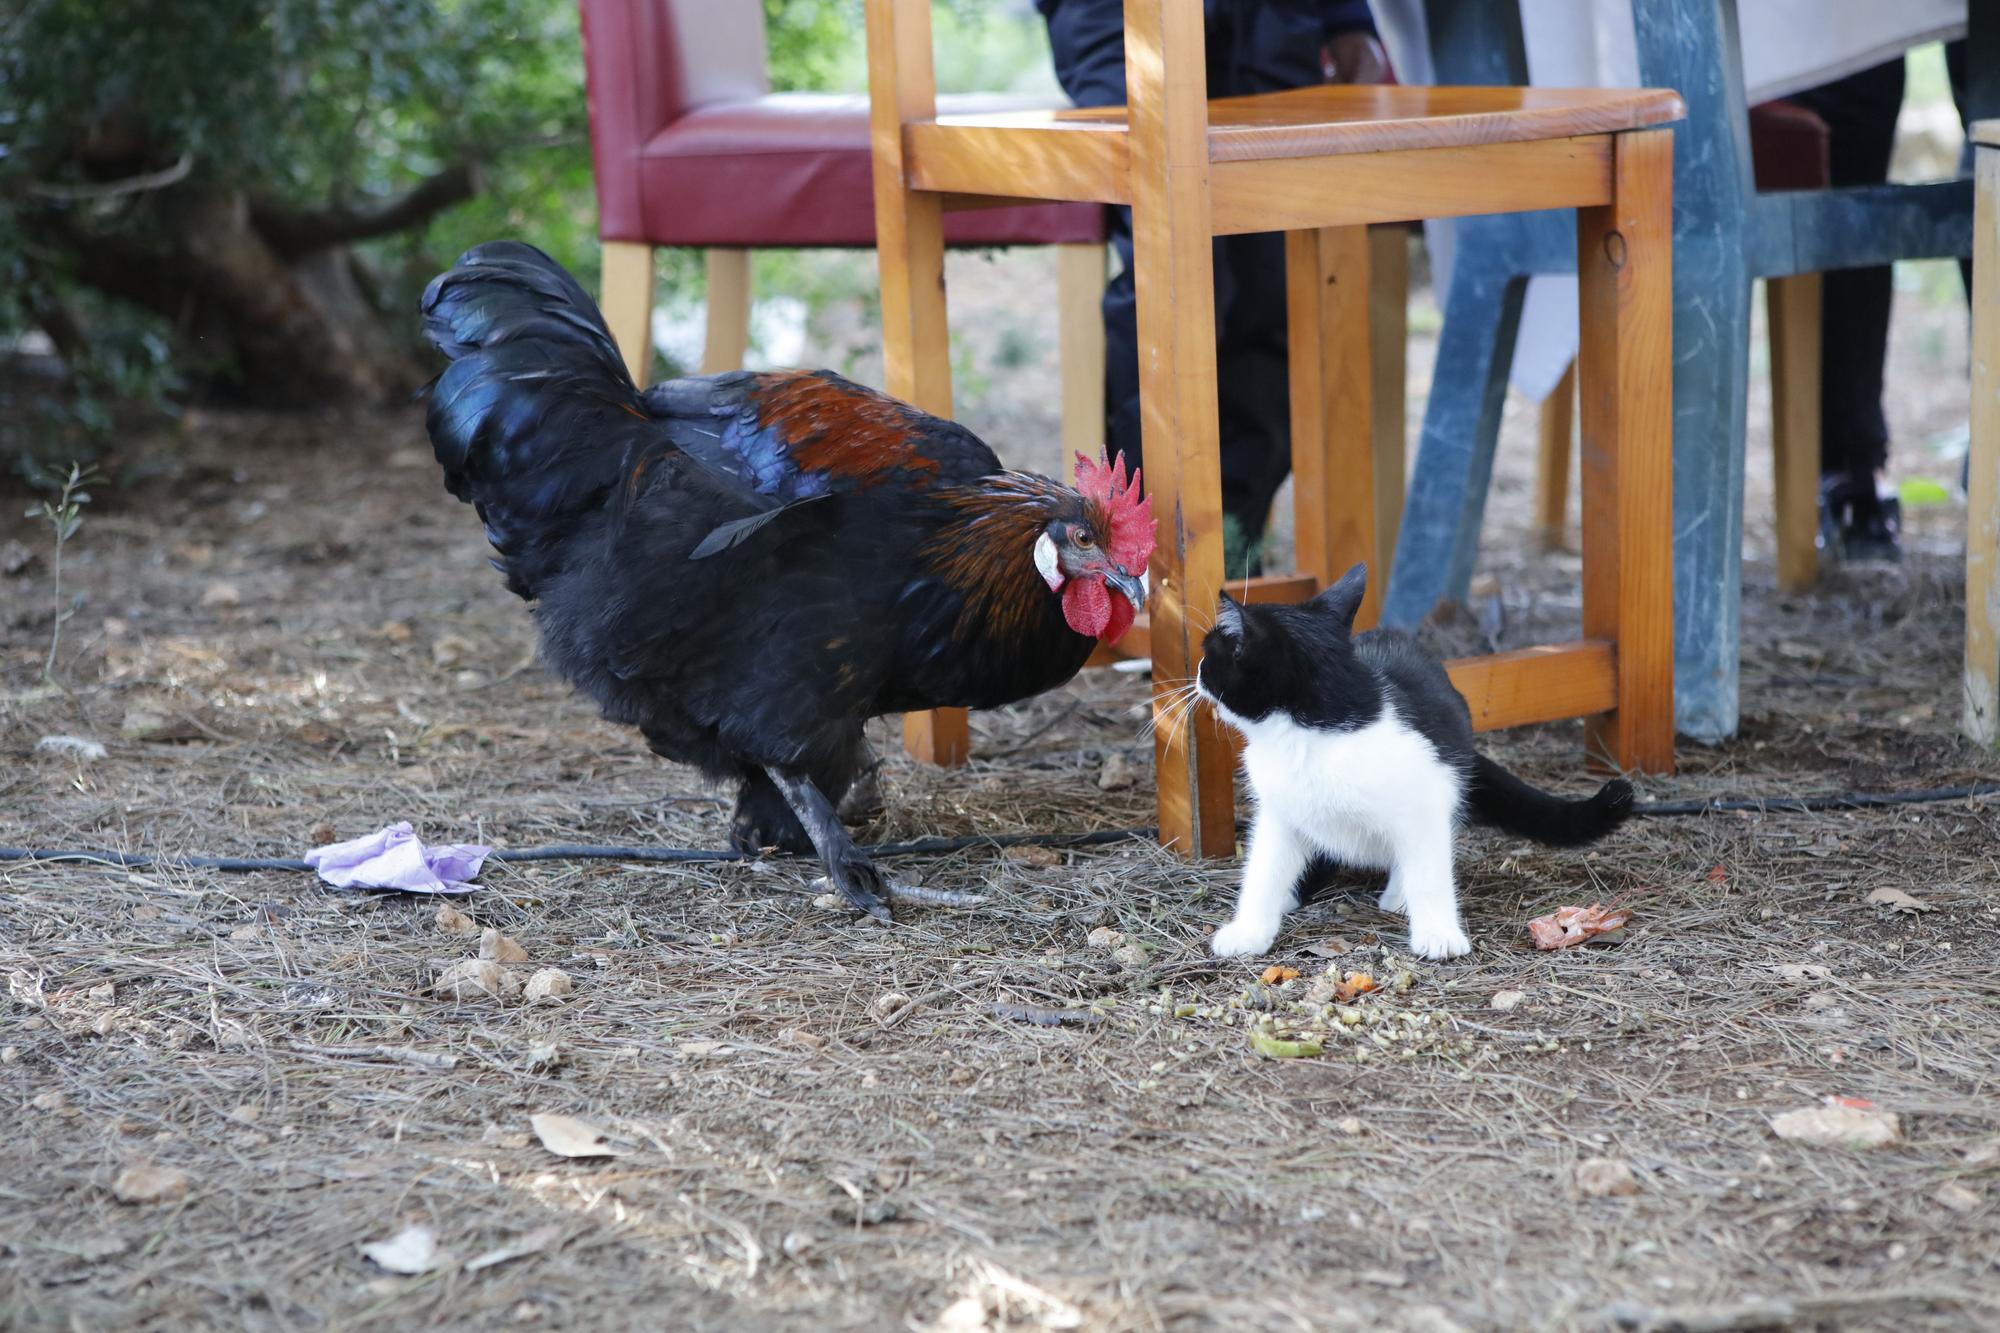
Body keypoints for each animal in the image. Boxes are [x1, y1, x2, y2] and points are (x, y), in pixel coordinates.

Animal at [1192, 560, 1632, 956]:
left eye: (1210, 655)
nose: (1195, 670)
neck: (1313, 737)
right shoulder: (1279, 812)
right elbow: (1264, 869)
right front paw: (1249, 930)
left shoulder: (1428, 795)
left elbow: (1429, 871)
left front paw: (1438, 933)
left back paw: (1397, 894)